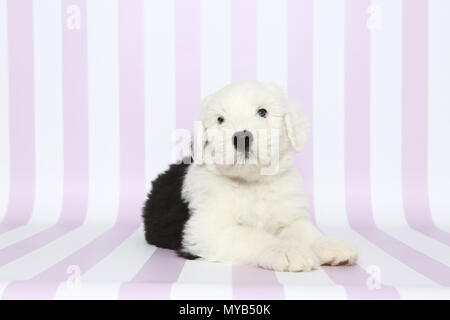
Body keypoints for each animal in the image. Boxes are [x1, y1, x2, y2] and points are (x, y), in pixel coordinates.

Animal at [142, 81, 356, 272]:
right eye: (220, 119)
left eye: (262, 112)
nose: (242, 137)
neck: (252, 183)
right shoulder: (205, 230)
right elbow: (252, 236)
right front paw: (286, 250)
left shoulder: (288, 217)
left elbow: (305, 232)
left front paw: (329, 244)